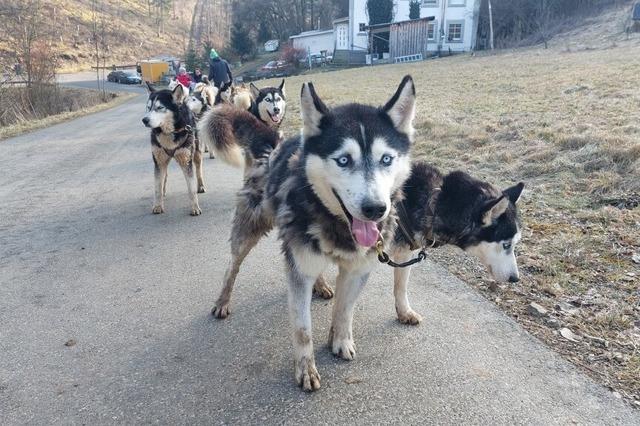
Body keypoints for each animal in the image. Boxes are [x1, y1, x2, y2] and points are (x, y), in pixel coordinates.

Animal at [142, 82, 205, 216]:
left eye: (160, 107)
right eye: (148, 107)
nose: (144, 120)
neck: (169, 132)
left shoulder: (186, 160)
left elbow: (191, 188)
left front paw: (195, 207)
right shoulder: (158, 161)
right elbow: (157, 187)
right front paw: (158, 205)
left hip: (196, 153)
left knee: (198, 169)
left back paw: (201, 186)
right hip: (163, 159)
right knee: (164, 175)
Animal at [202, 75, 418, 390]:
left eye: (386, 159)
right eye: (343, 160)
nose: (375, 209)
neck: (336, 223)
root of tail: (275, 145)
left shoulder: (357, 269)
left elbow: (344, 310)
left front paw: (340, 340)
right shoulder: (298, 274)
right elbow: (303, 329)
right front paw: (306, 368)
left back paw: (322, 284)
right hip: (249, 230)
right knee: (233, 266)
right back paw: (222, 300)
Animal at [390, 161, 524, 324]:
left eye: (515, 243)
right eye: (506, 244)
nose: (515, 279)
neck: (433, 204)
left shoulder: (405, 255)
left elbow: (401, 286)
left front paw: (405, 312)